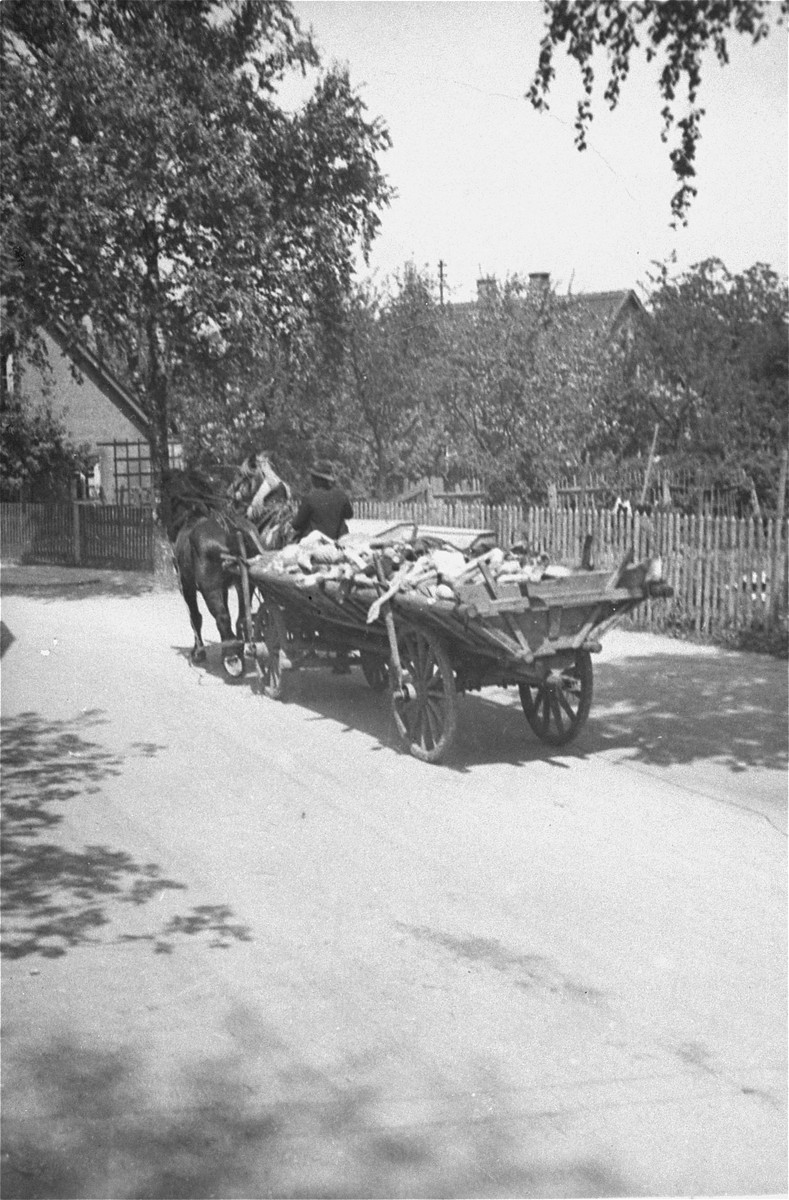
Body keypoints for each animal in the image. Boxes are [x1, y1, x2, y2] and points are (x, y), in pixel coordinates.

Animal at [161, 453, 291, 676]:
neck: (191, 516)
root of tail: (231, 529)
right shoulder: (227, 585)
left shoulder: (187, 585)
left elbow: (195, 617)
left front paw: (198, 652)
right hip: (245, 582)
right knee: (242, 616)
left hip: (209, 587)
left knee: (222, 617)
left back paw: (232, 656)